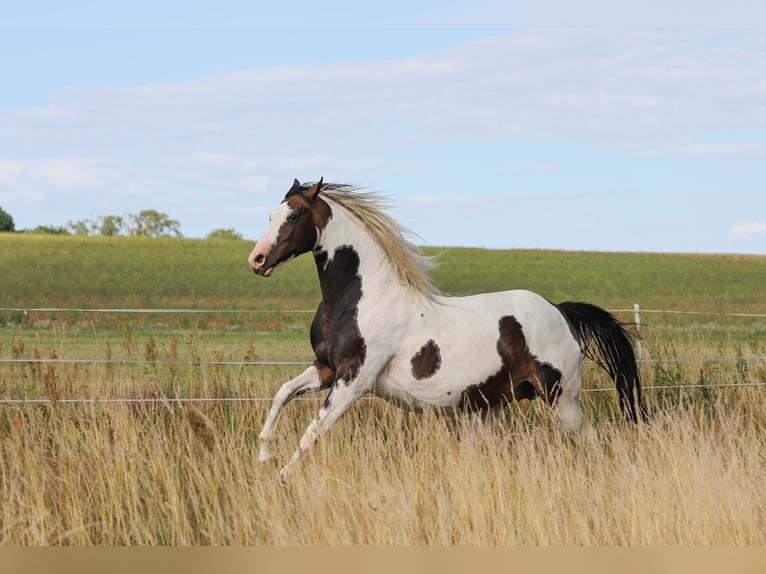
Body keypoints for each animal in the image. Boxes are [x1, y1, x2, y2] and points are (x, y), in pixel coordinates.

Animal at [249, 178, 644, 480]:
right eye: (269, 215)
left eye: (293, 215)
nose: (257, 260)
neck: (360, 299)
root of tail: (560, 311)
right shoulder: (326, 369)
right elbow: (283, 394)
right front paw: (264, 457)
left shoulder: (355, 379)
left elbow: (313, 431)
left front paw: (281, 478)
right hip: (490, 405)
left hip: (562, 398)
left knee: (589, 440)